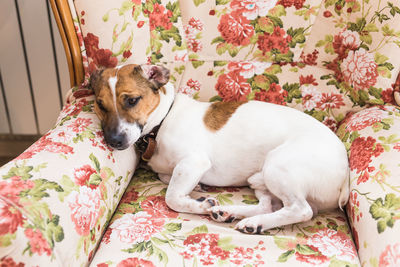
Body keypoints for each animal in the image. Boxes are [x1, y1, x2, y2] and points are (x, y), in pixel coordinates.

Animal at [90, 64, 350, 234]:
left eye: (132, 100)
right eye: (100, 105)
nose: (114, 141)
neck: (161, 122)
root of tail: (344, 180)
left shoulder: (194, 162)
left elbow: (172, 197)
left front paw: (199, 204)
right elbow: (168, 178)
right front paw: (198, 190)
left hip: (277, 167)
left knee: (301, 210)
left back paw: (247, 220)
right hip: (260, 180)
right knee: (268, 205)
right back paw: (235, 214)